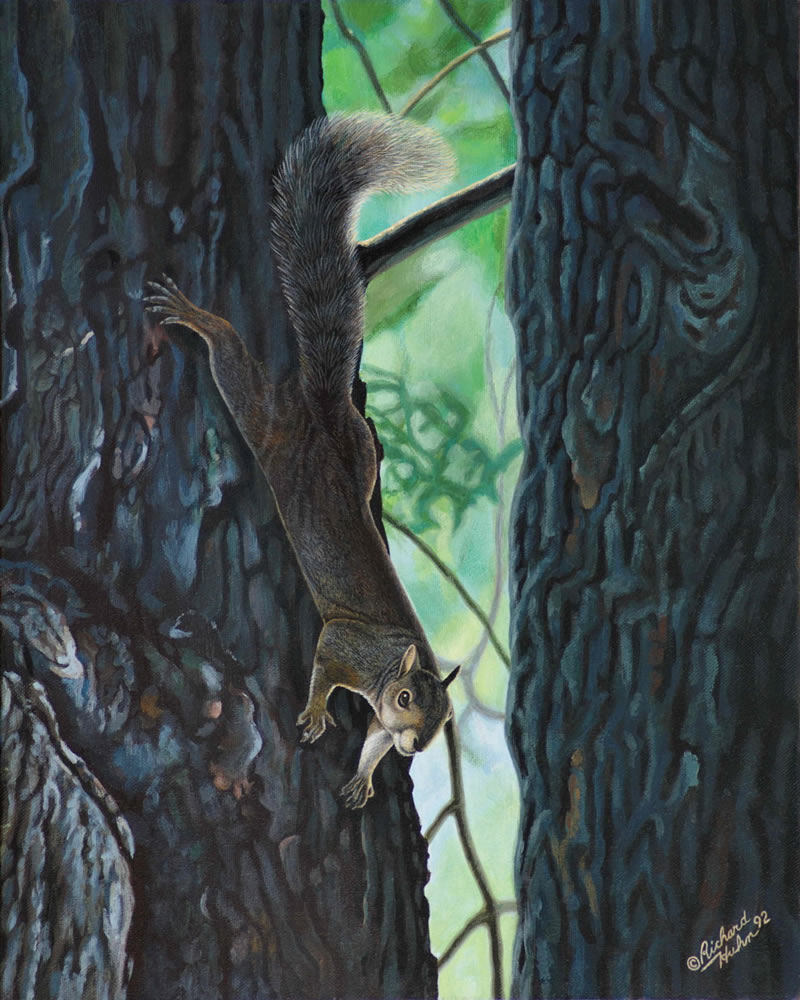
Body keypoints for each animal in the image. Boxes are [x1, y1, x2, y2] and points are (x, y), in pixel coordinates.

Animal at [145, 113, 459, 809]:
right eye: (406, 697)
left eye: (441, 722)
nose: (413, 746)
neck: (392, 667)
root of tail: (322, 414)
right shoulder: (347, 644)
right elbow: (324, 664)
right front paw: (316, 713)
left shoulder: (377, 717)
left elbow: (371, 741)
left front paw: (364, 777)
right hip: (273, 430)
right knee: (234, 370)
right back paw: (197, 318)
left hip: (359, 449)